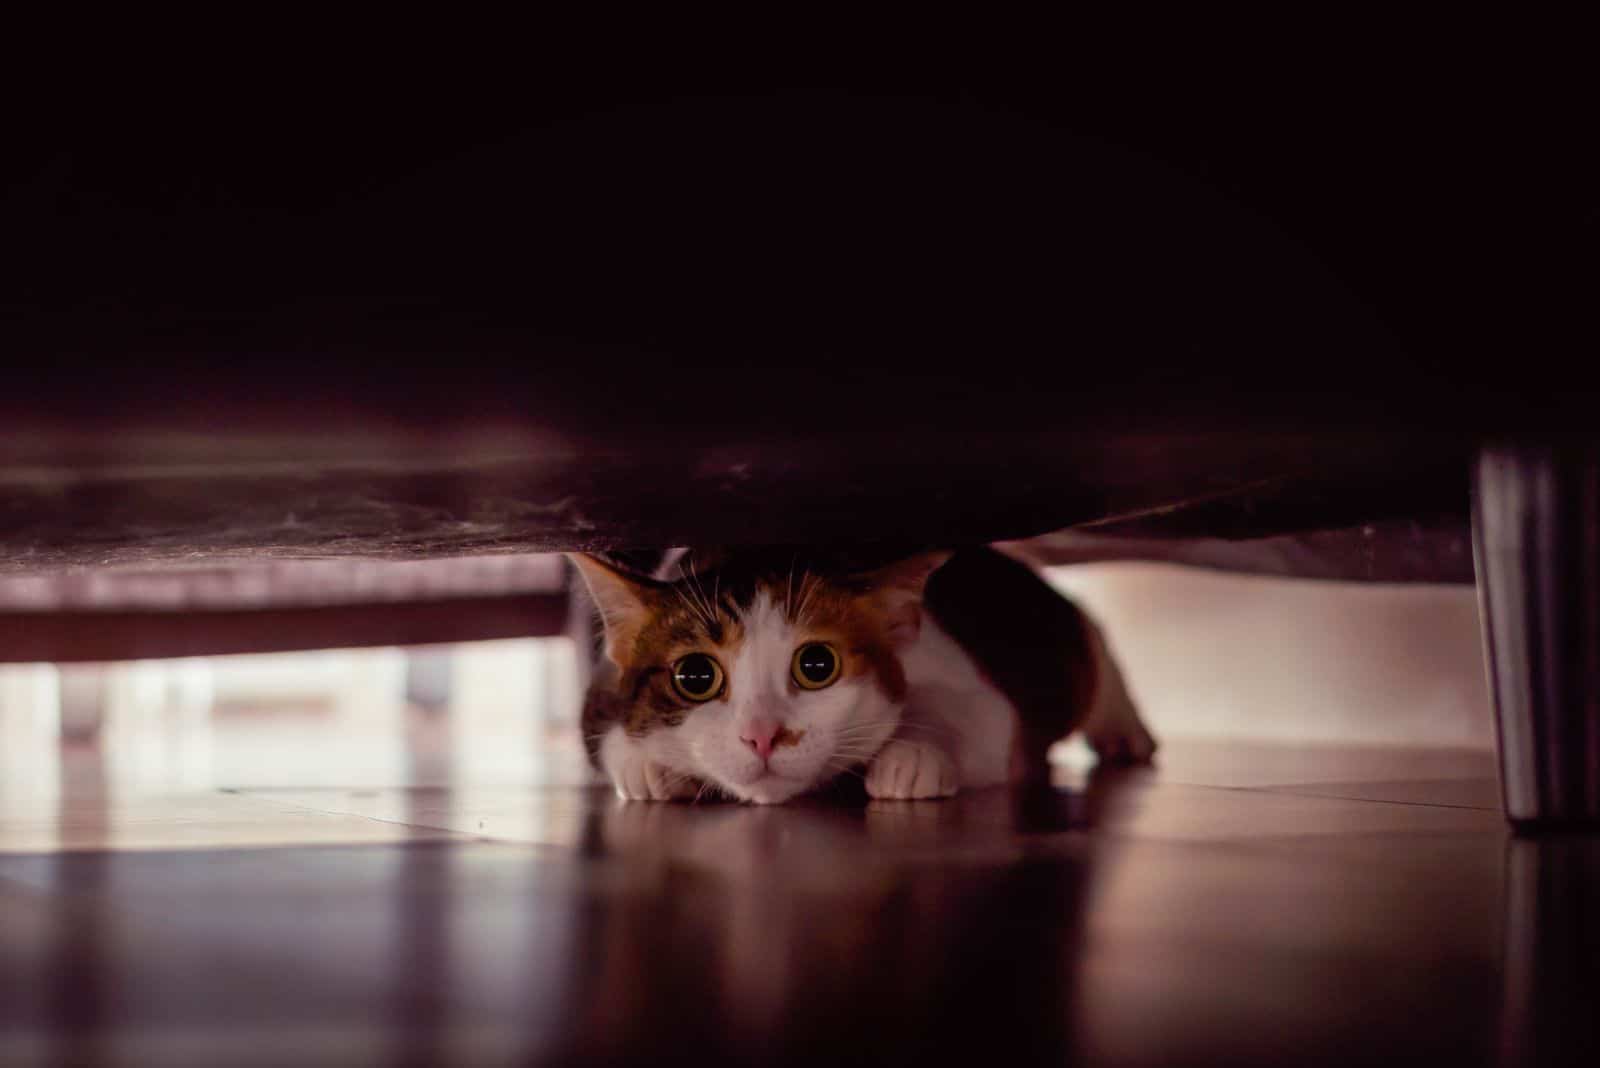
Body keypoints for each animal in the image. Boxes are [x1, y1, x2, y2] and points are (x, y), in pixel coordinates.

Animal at [569, 546, 1158, 805]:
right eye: (694, 676)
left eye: (816, 665)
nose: (762, 736)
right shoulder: (600, 690)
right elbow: (608, 733)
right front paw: (648, 767)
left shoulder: (965, 683)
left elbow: (971, 713)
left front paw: (910, 755)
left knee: (1092, 635)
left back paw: (1125, 730)